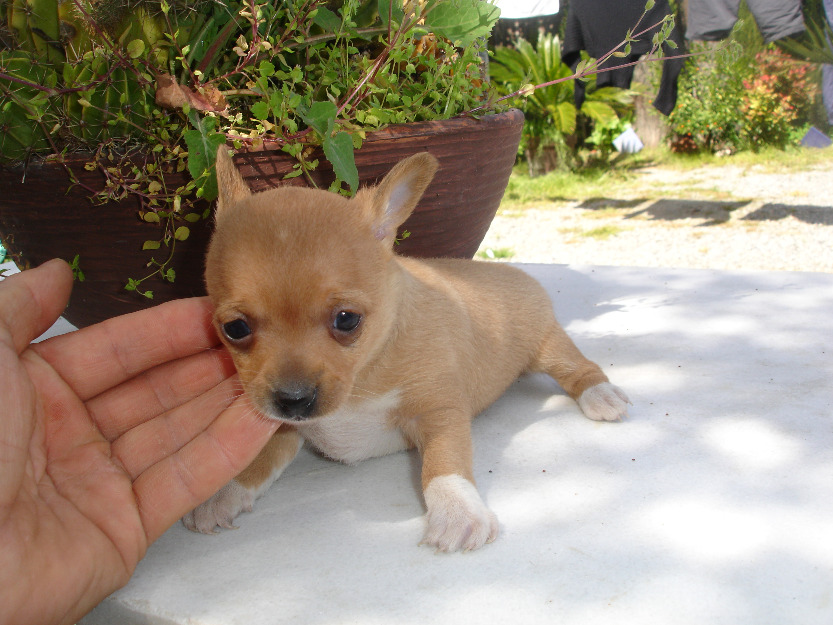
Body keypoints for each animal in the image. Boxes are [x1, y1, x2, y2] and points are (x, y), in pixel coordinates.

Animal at [180, 147, 624, 552]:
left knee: (577, 367)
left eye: (347, 320)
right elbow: (260, 459)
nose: (293, 399)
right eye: (235, 329)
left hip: (547, 344)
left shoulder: (439, 412)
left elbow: (445, 461)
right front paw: (223, 493)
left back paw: (601, 396)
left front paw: (457, 510)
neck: (363, 375)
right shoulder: (287, 429)